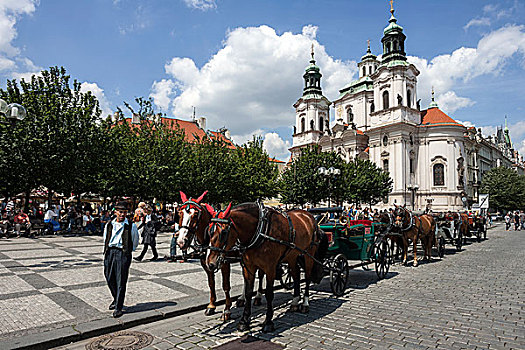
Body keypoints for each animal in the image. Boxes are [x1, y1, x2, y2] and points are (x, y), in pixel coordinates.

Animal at [204, 201, 324, 332]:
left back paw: (305, 304)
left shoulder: (270, 268)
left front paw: (268, 322)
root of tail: (309, 216)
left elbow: (269, 294)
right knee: (296, 274)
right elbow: (248, 292)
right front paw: (244, 321)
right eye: (208, 231)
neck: (261, 229)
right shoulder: (249, 267)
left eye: (223, 233)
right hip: (292, 256)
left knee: (307, 277)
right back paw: (295, 302)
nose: (210, 263)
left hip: (309, 254)